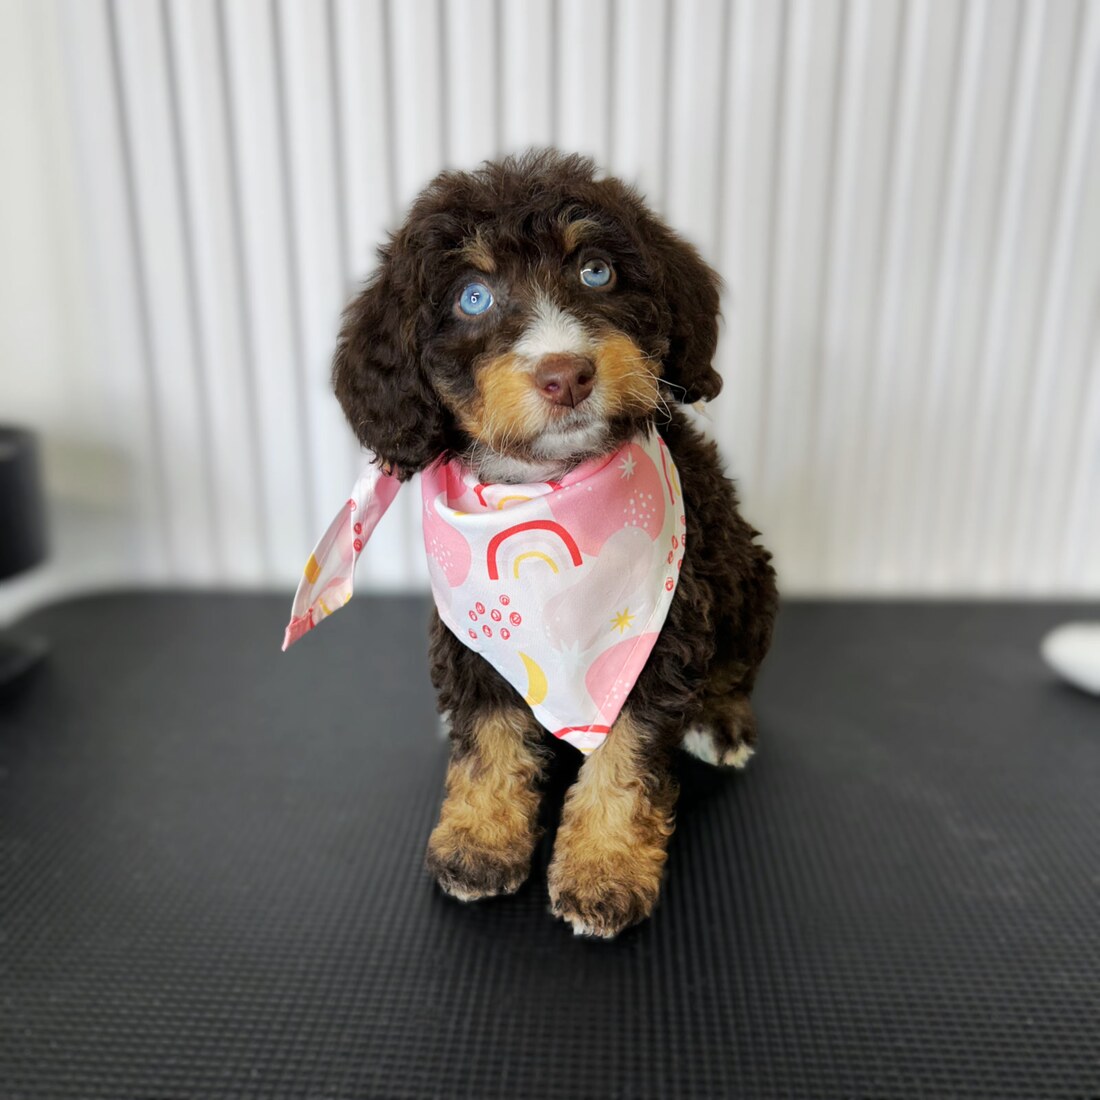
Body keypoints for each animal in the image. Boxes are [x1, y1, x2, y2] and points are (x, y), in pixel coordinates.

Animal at [331, 150, 777, 938]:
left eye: (596, 271)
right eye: (473, 297)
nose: (566, 374)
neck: (545, 491)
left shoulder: (661, 639)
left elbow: (625, 758)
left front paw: (603, 869)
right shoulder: (471, 635)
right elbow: (486, 741)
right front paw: (479, 841)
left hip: (745, 576)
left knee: (733, 669)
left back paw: (720, 721)